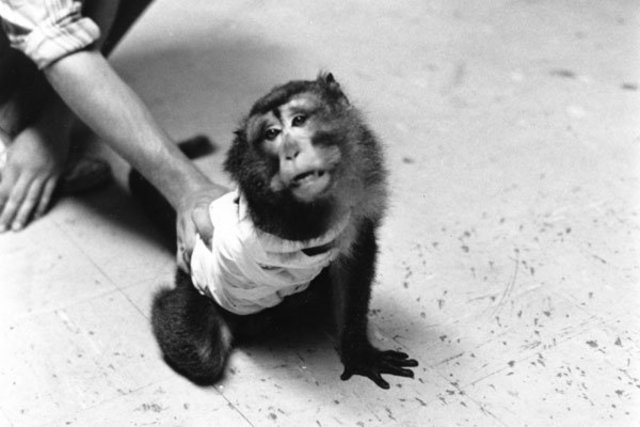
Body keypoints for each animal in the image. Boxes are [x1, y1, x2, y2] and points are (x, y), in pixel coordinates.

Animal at [133, 73, 418, 389]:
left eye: (299, 120)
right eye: (271, 134)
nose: (291, 151)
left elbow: (353, 258)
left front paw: (358, 351)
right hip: (197, 292)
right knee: (200, 352)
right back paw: (164, 304)